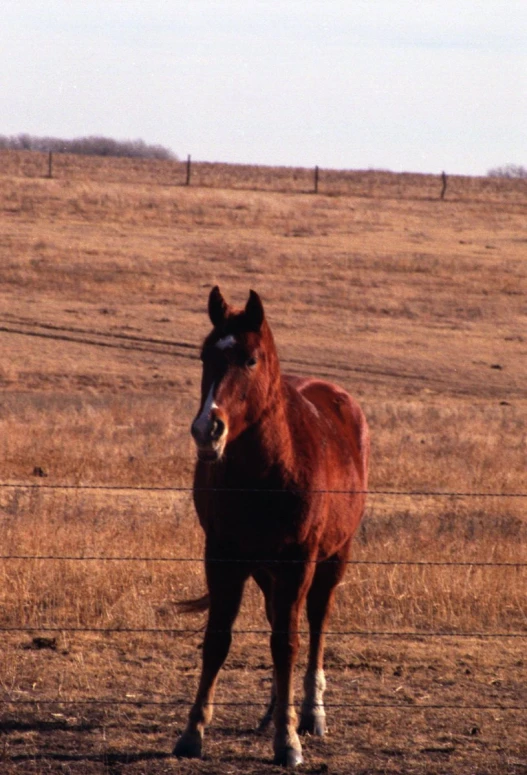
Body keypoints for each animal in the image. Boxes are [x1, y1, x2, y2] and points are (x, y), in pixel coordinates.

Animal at [175, 288, 370, 768]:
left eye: (250, 360)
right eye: (205, 355)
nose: (207, 429)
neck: (266, 472)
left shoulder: (298, 562)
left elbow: (287, 644)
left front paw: (288, 740)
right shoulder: (222, 556)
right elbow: (218, 640)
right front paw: (193, 732)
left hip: (332, 559)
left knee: (314, 624)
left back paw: (310, 713)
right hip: (267, 572)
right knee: (279, 619)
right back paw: (272, 710)